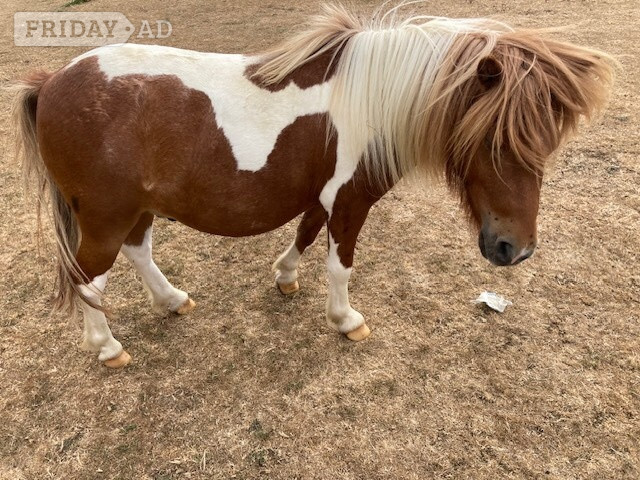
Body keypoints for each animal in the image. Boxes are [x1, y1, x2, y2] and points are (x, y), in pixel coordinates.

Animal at [11, 4, 614, 368]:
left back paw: (173, 300)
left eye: (548, 143)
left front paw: (285, 278)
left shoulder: (325, 196)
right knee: (87, 278)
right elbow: (339, 264)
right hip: (104, 216)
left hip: (132, 209)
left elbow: (303, 233)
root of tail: (52, 82)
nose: (515, 249)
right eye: (495, 141)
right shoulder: (350, 200)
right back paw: (107, 347)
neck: (370, 100)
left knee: (137, 252)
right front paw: (345, 320)